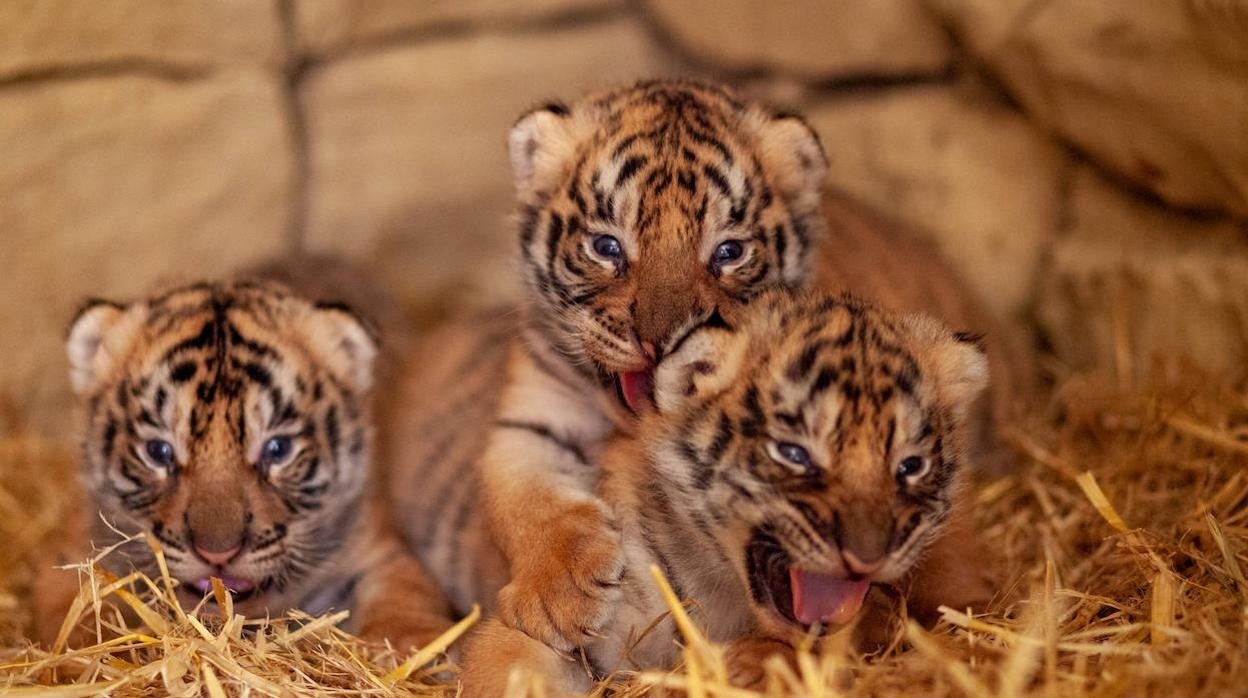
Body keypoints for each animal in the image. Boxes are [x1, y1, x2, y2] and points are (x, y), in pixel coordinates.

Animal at [60, 275, 451, 650]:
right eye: (159, 452)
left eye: (278, 449)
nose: (218, 554)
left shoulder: (380, 550)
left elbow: (404, 603)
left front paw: (417, 650)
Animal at [457, 289, 993, 695]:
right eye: (794, 453)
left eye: (910, 466)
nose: (868, 557)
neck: (722, 581)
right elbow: (508, 664)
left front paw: (750, 665)